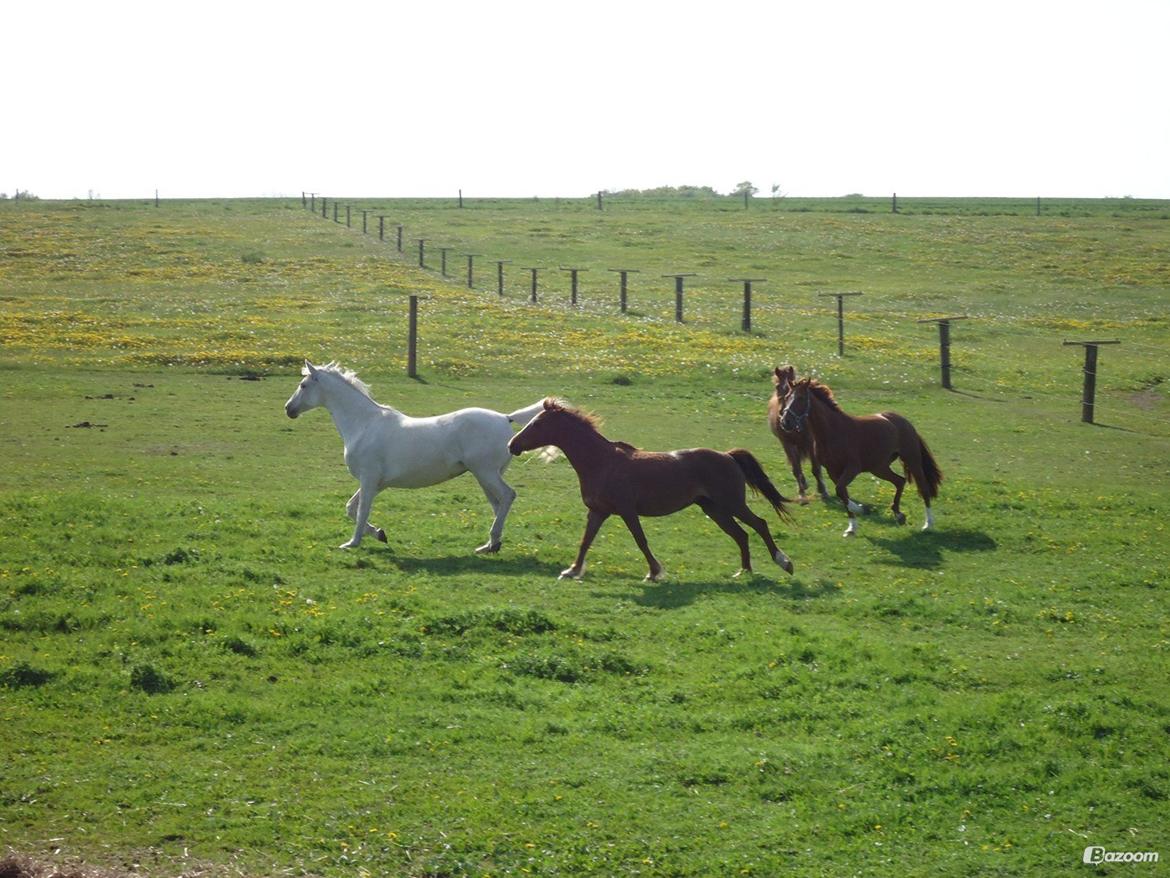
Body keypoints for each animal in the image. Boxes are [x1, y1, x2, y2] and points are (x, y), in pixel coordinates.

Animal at [284, 361, 544, 553]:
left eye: (303, 385)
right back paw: (490, 545)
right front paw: (380, 534)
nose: (288, 409)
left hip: (486, 473)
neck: (364, 425)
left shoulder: (369, 479)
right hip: (485, 476)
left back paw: (492, 542)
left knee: (508, 496)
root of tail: (505, 418)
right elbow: (351, 508)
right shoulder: (377, 483)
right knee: (498, 504)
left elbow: (361, 511)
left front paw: (352, 543)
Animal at [507, 398, 794, 581]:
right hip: (714, 509)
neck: (601, 461)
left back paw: (784, 562)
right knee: (741, 535)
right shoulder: (598, 512)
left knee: (760, 525)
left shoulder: (626, 510)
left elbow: (641, 540)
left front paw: (654, 572)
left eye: (537, 424)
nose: (513, 445)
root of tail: (728, 456)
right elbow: (585, 541)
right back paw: (743, 572)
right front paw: (572, 571)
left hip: (731, 504)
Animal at [768, 365, 829, 503]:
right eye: (777, 386)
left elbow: (816, 468)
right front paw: (801, 494)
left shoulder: (810, 441)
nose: (783, 417)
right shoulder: (787, 443)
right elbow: (796, 469)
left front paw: (823, 491)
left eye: (791, 383)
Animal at [777, 377, 942, 537]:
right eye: (787, 397)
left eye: (800, 398)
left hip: (911, 459)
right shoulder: (832, 471)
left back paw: (928, 524)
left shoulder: (852, 468)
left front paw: (863, 509)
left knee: (923, 488)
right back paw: (899, 514)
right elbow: (843, 494)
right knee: (900, 481)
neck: (832, 431)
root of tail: (902, 420)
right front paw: (852, 528)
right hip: (879, 467)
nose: (785, 421)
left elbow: (840, 491)